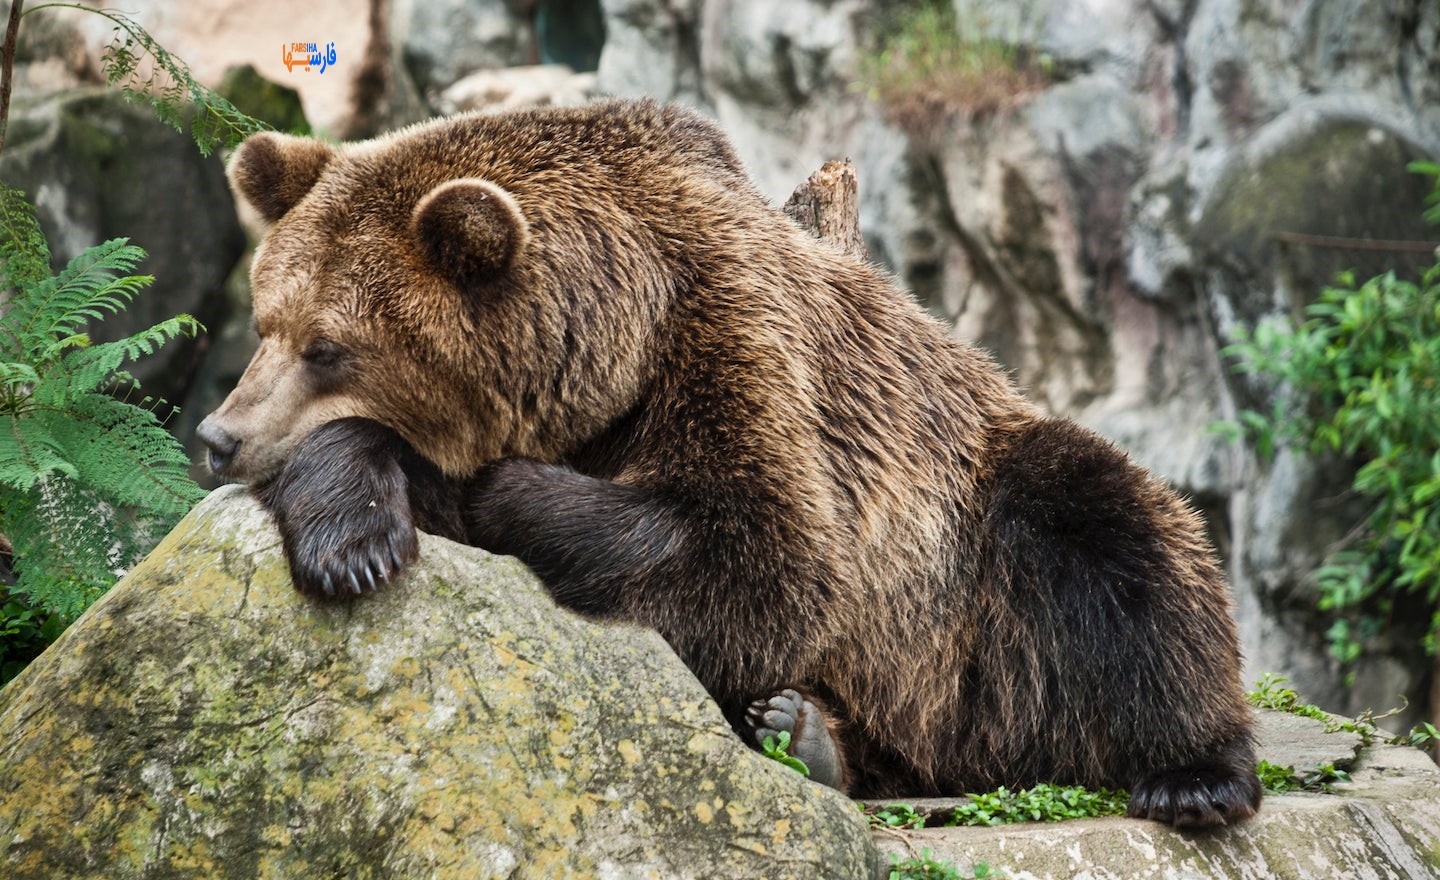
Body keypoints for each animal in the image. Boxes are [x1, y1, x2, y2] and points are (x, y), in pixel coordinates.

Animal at [200, 100, 1261, 829]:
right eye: (266, 321)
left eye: (328, 346)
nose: (218, 436)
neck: (615, 340)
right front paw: (354, 539)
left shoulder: (738, 346)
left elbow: (762, 558)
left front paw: (492, 489)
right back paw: (807, 732)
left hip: (973, 568)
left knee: (1115, 535)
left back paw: (1196, 774)